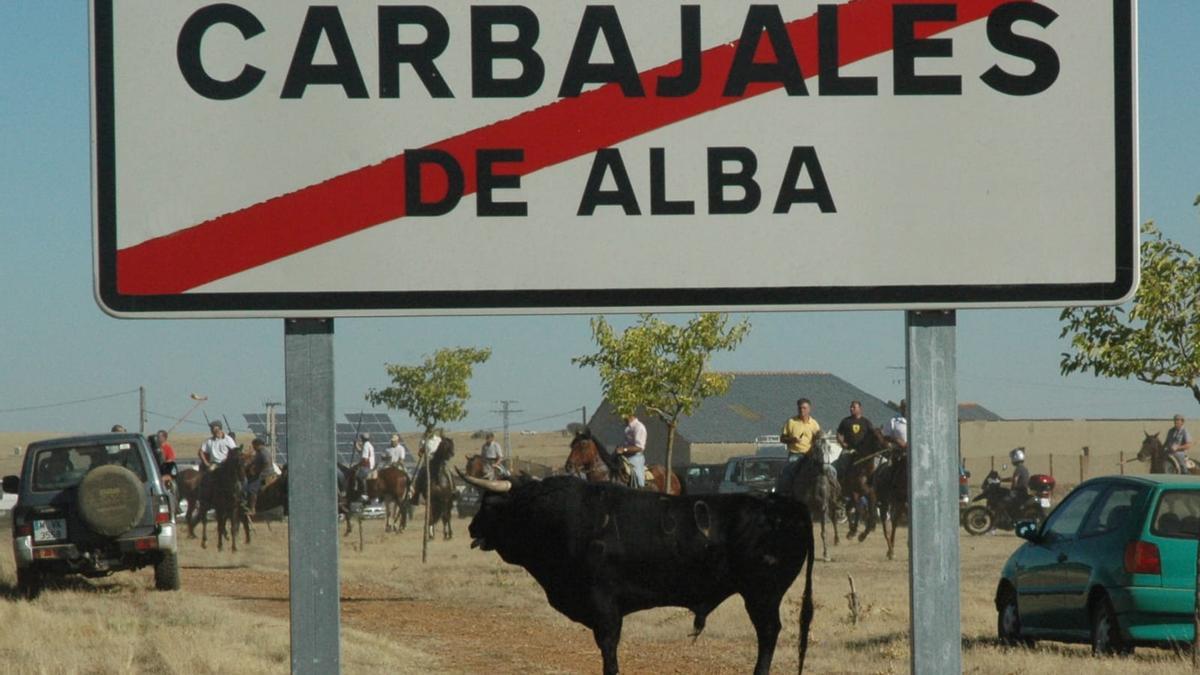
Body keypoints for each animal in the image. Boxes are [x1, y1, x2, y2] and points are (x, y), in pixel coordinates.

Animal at [458, 470, 816, 667]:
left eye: (489, 504)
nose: (471, 527)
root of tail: (785, 504)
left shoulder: (603, 604)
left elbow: (609, 649)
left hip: (762, 595)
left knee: (768, 634)